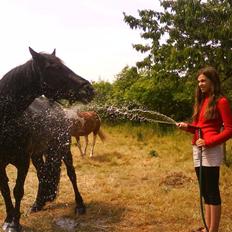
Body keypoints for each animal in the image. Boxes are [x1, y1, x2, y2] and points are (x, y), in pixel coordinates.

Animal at [0, 48, 94, 231]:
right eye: (53, 67)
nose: (88, 89)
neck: (6, 121)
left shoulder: (23, 161)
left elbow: (17, 190)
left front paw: (15, 223)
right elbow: (5, 190)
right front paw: (8, 219)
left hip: (64, 149)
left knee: (71, 174)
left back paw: (80, 205)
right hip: (39, 153)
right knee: (43, 175)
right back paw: (38, 204)